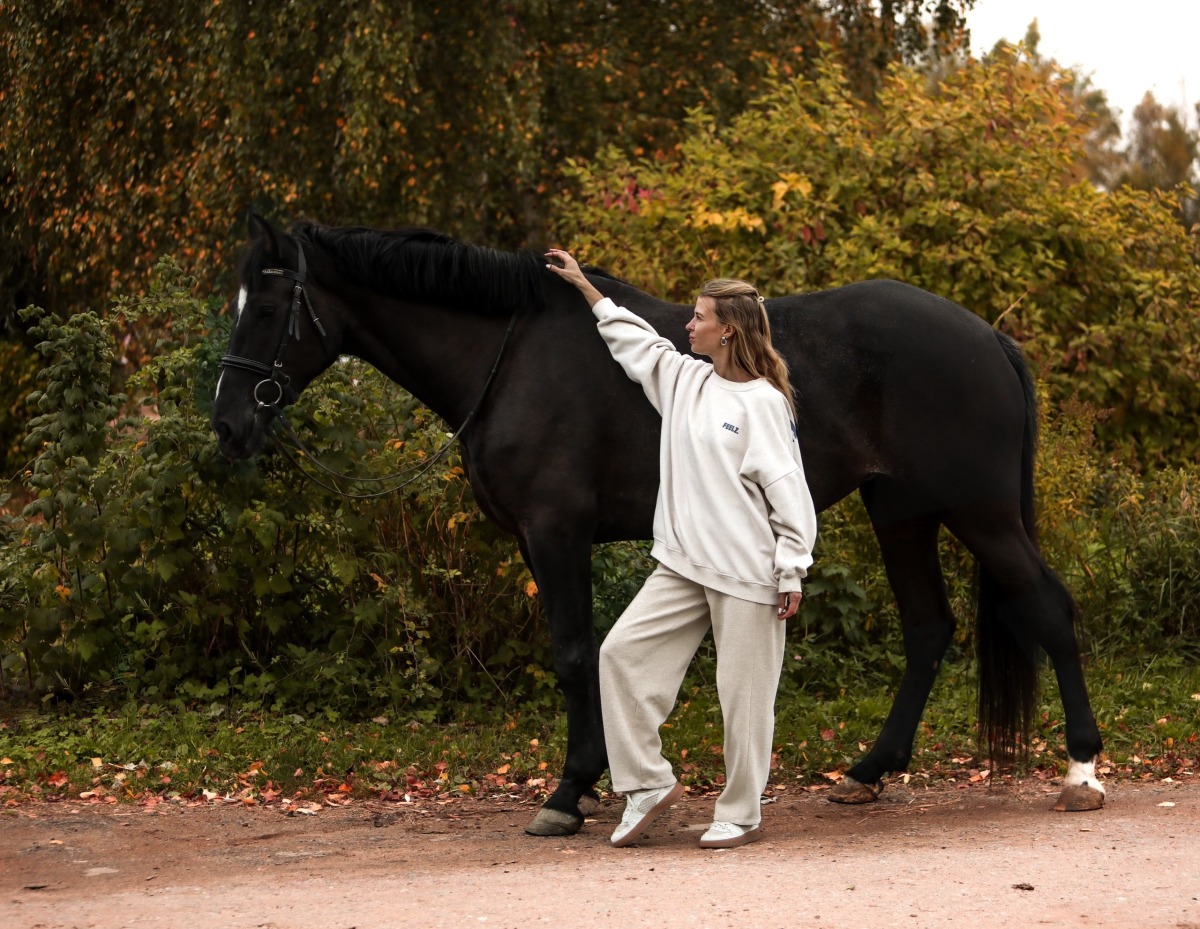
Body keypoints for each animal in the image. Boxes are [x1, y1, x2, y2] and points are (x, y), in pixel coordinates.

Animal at [211, 212, 1106, 835]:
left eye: (269, 307)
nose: (228, 425)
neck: (511, 356)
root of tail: (989, 336)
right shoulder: (540, 540)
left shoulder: (556, 531)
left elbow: (573, 654)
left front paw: (570, 790)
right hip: (904, 513)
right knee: (928, 630)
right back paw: (867, 772)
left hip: (979, 512)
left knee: (1048, 609)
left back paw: (1082, 771)